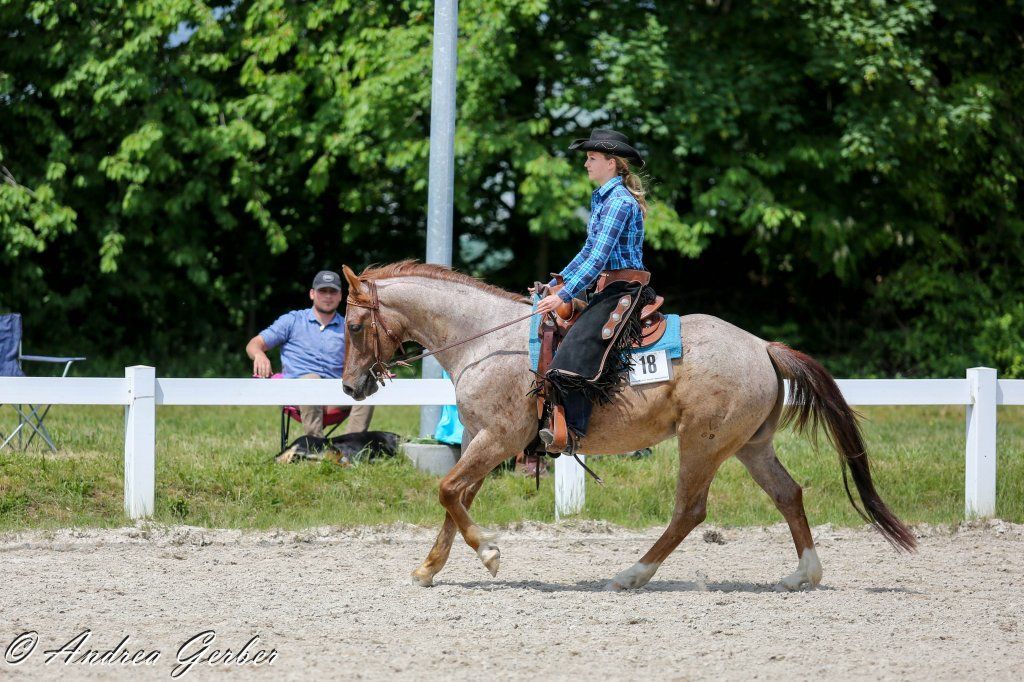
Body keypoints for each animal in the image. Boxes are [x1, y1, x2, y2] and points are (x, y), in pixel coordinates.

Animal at [339, 261, 916, 591]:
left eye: (353, 324)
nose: (349, 387)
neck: (487, 338)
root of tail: (762, 347)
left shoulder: (499, 438)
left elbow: (447, 491)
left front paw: (490, 553)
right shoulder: (485, 439)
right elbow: (456, 498)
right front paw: (430, 568)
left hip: (702, 444)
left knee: (690, 511)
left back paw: (632, 574)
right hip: (751, 445)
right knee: (788, 494)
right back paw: (803, 574)